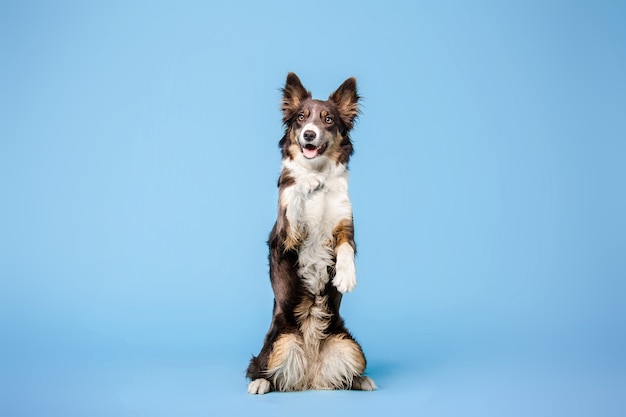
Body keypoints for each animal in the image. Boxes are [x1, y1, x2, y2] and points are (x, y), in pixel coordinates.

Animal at [244, 72, 372, 394]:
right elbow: (294, 191)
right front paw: (302, 180)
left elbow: (346, 248)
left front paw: (346, 276)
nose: (309, 135)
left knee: (345, 376)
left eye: (328, 119)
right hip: (280, 341)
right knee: (263, 370)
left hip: (349, 346)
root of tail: (310, 375)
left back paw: (362, 380)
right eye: (301, 118)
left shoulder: (345, 225)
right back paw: (260, 383)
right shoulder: (286, 235)